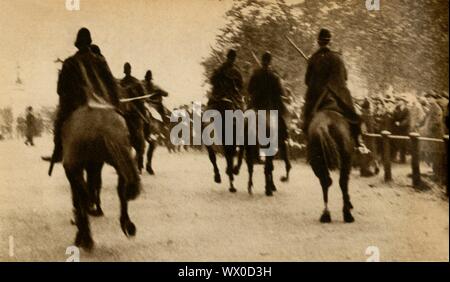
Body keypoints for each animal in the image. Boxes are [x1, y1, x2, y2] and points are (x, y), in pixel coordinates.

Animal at [60, 104, 140, 250]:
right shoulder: (95, 164)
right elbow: (94, 185)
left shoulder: (78, 167)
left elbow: (81, 195)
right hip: (118, 155)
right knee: (121, 188)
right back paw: (127, 225)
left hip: (74, 166)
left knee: (83, 195)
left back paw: (85, 236)